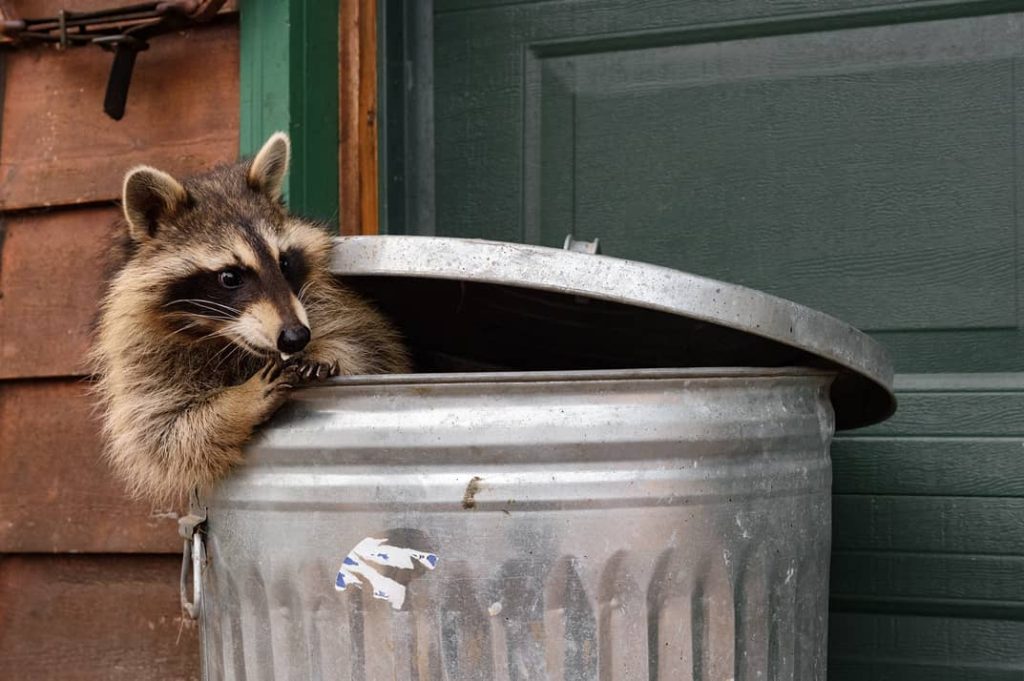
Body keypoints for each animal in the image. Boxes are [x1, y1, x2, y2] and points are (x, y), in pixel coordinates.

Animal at [92, 134, 409, 503]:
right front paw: (240, 402)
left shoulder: (330, 307)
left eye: (284, 262)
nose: (296, 337)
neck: (223, 339)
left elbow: (367, 345)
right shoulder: (143, 359)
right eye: (230, 277)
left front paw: (326, 351)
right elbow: (167, 435)